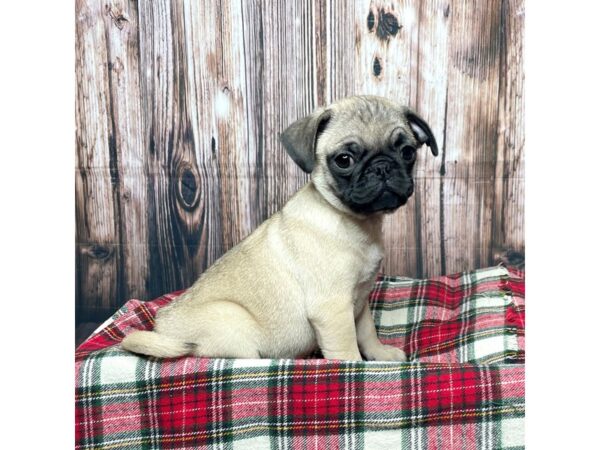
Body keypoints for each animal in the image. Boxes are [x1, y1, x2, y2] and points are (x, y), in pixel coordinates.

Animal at [123, 96, 440, 362]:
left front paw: (380, 354)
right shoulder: (333, 308)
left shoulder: (359, 303)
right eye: (344, 160)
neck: (355, 221)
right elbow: (347, 347)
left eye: (408, 152)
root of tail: (163, 328)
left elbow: (367, 332)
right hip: (232, 323)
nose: (382, 166)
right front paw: (354, 369)